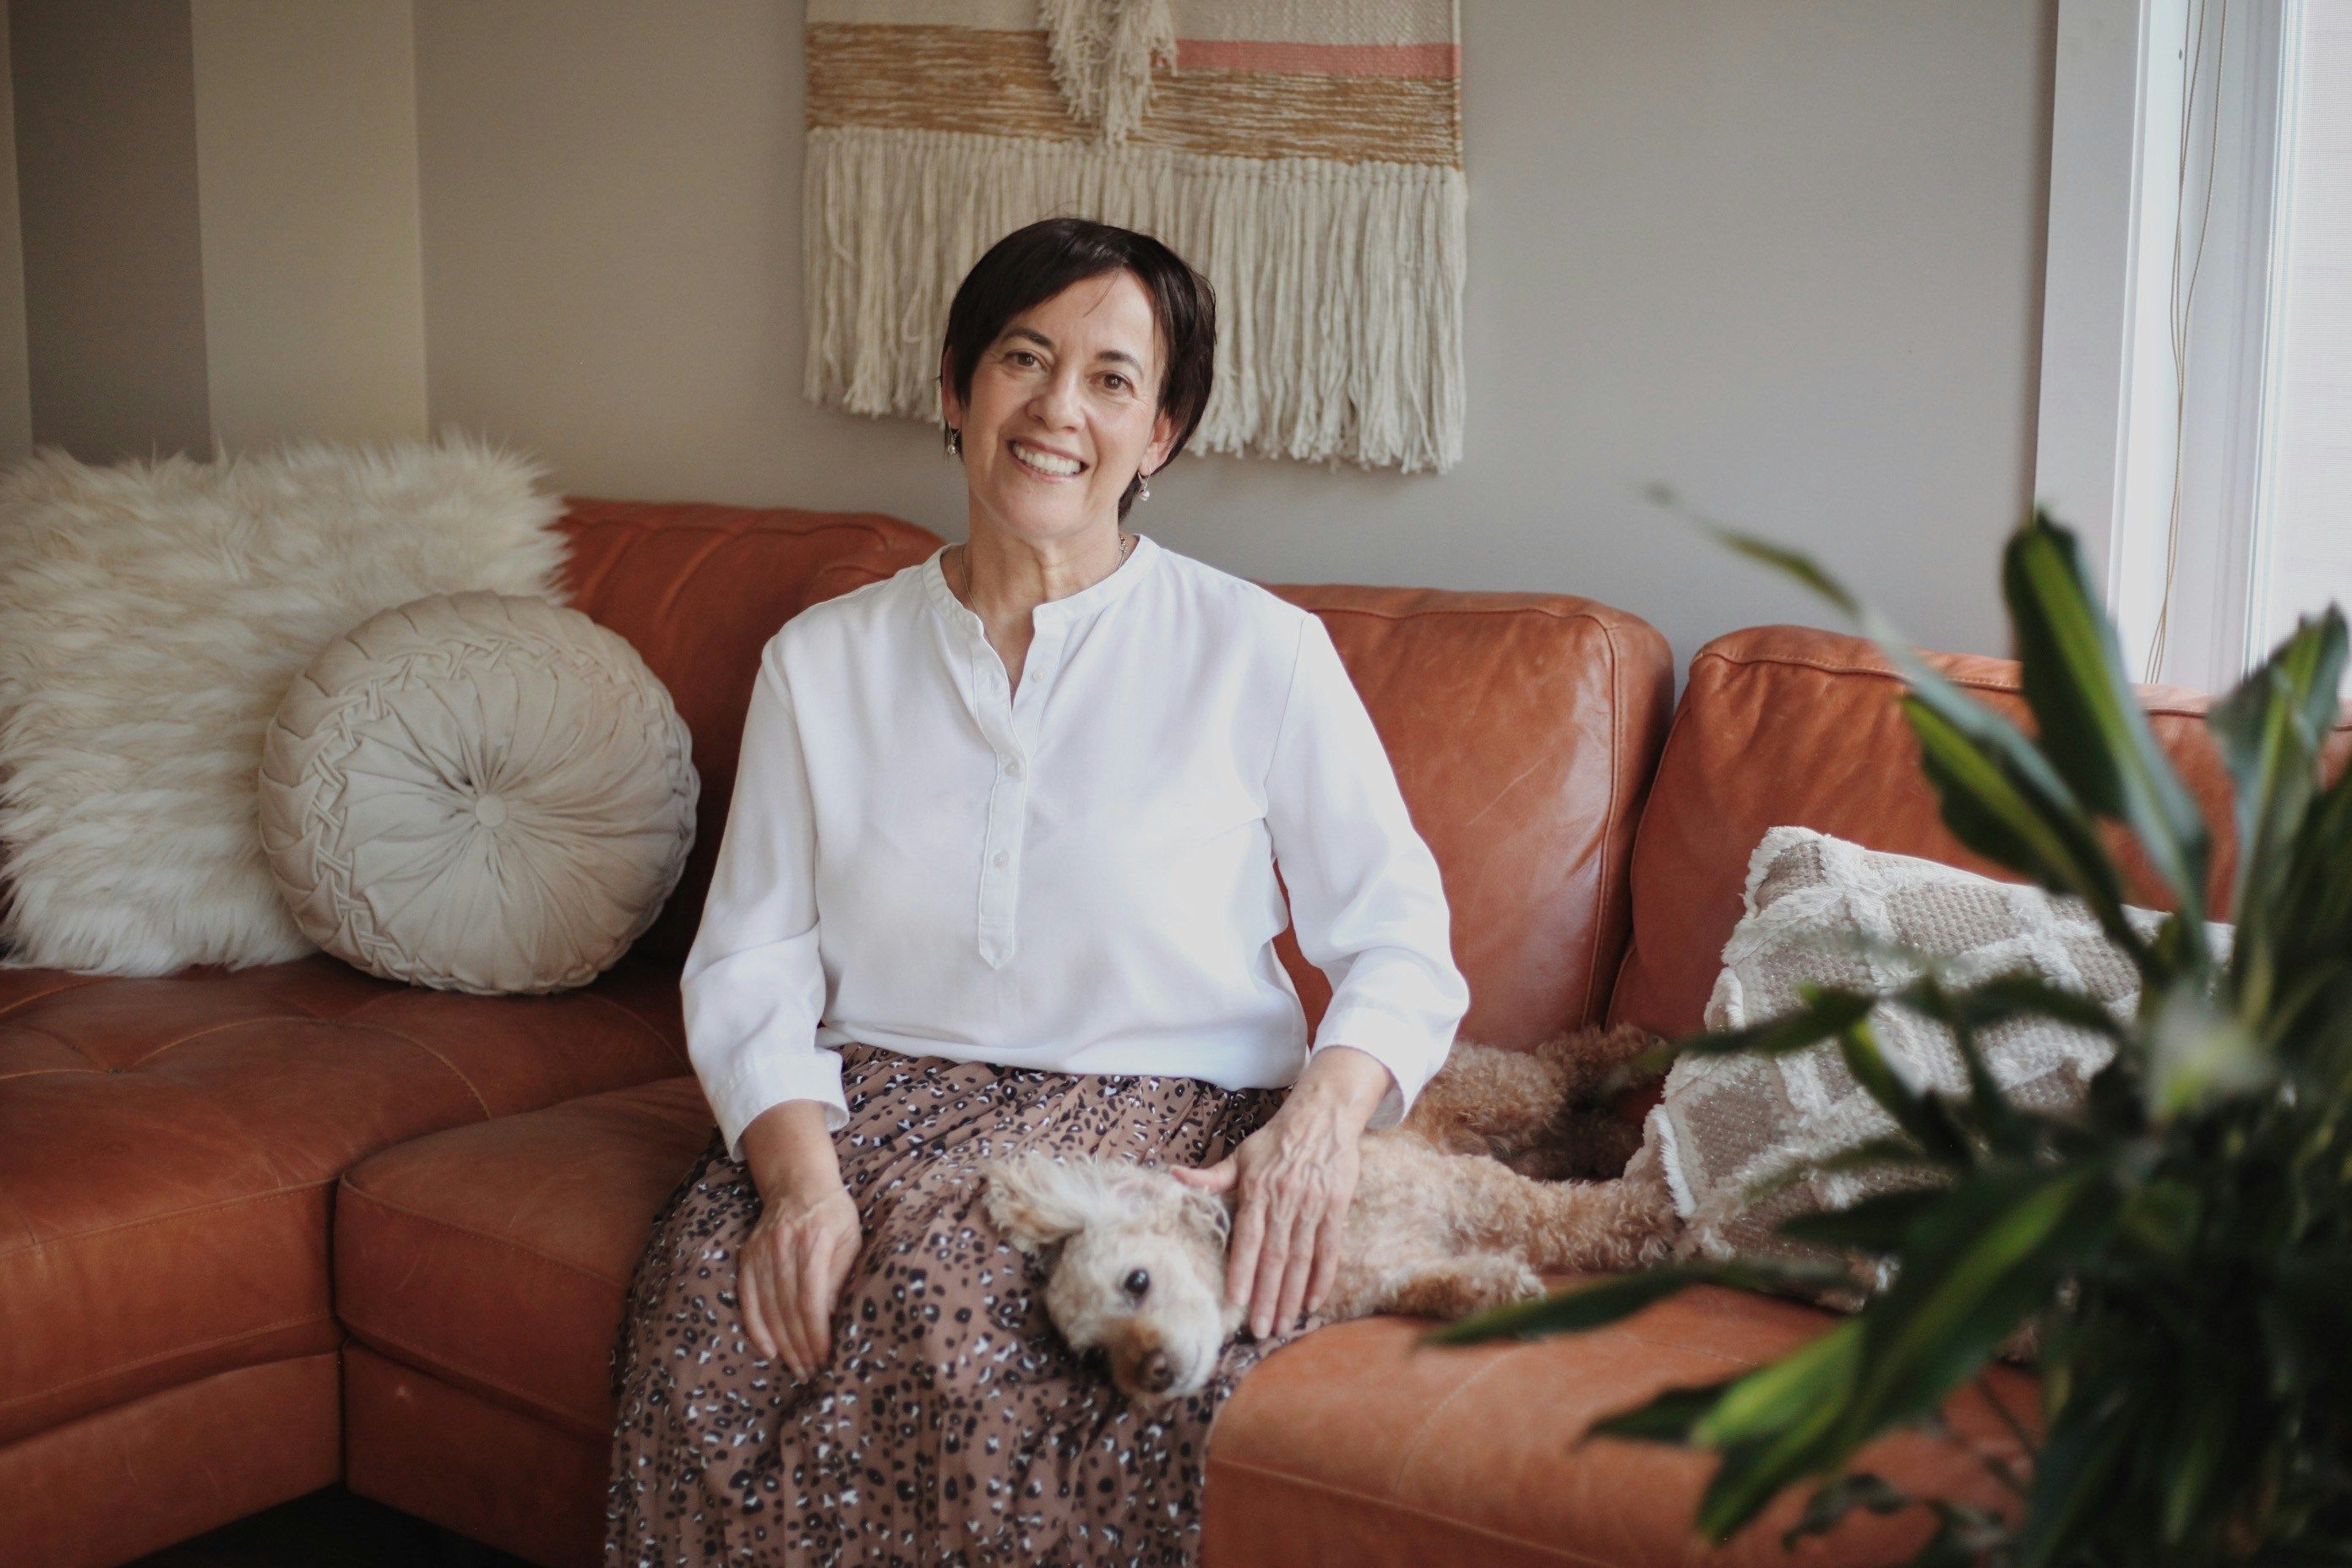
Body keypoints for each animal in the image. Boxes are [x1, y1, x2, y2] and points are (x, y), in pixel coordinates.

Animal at [983, 1029, 1684, 1410]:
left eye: (1137, 1282)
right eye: (1096, 1355)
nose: (1149, 1376)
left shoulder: (1479, 1193)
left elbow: (1575, 1218)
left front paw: (1661, 1213)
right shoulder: (1399, 1275)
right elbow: (1446, 1283)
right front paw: (1499, 1291)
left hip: (1505, 1096)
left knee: (1562, 1064)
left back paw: (1639, 1052)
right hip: (1519, 1140)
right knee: (1576, 1129)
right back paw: (1616, 1140)